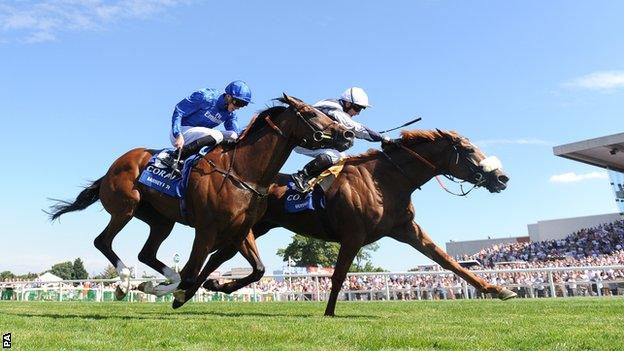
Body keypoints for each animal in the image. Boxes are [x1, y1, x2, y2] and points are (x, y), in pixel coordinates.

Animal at [47, 95, 356, 306]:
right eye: (311, 113)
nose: (347, 133)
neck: (242, 171)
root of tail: (115, 165)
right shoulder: (207, 229)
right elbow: (190, 273)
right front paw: (166, 292)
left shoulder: (241, 230)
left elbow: (257, 270)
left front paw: (189, 287)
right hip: (125, 207)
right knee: (103, 241)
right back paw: (124, 282)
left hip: (161, 220)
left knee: (146, 253)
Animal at [196, 129, 516, 316]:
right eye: (469, 150)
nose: (502, 178)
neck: (385, 180)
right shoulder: (353, 235)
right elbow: (338, 276)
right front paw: (329, 313)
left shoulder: (406, 229)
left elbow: (448, 261)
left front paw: (498, 290)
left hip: (253, 228)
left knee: (216, 259)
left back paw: (206, 286)